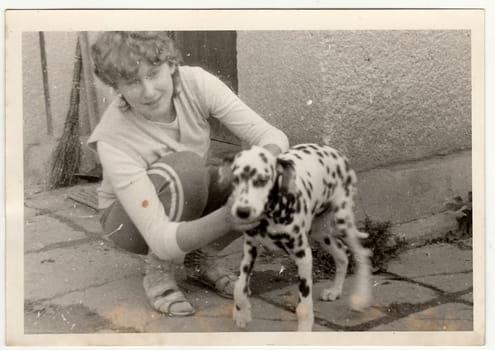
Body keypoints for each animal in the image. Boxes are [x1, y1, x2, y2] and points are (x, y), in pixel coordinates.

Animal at [225, 144, 372, 332]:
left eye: (263, 180)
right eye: (236, 178)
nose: (242, 211)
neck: (271, 213)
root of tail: (334, 151)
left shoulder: (303, 256)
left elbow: (304, 303)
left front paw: (304, 328)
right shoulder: (250, 249)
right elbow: (239, 285)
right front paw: (242, 313)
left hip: (342, 222)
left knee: (362, 253)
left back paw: (362, 297)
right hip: (319, 232)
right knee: (342, 255)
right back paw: (335, 291)